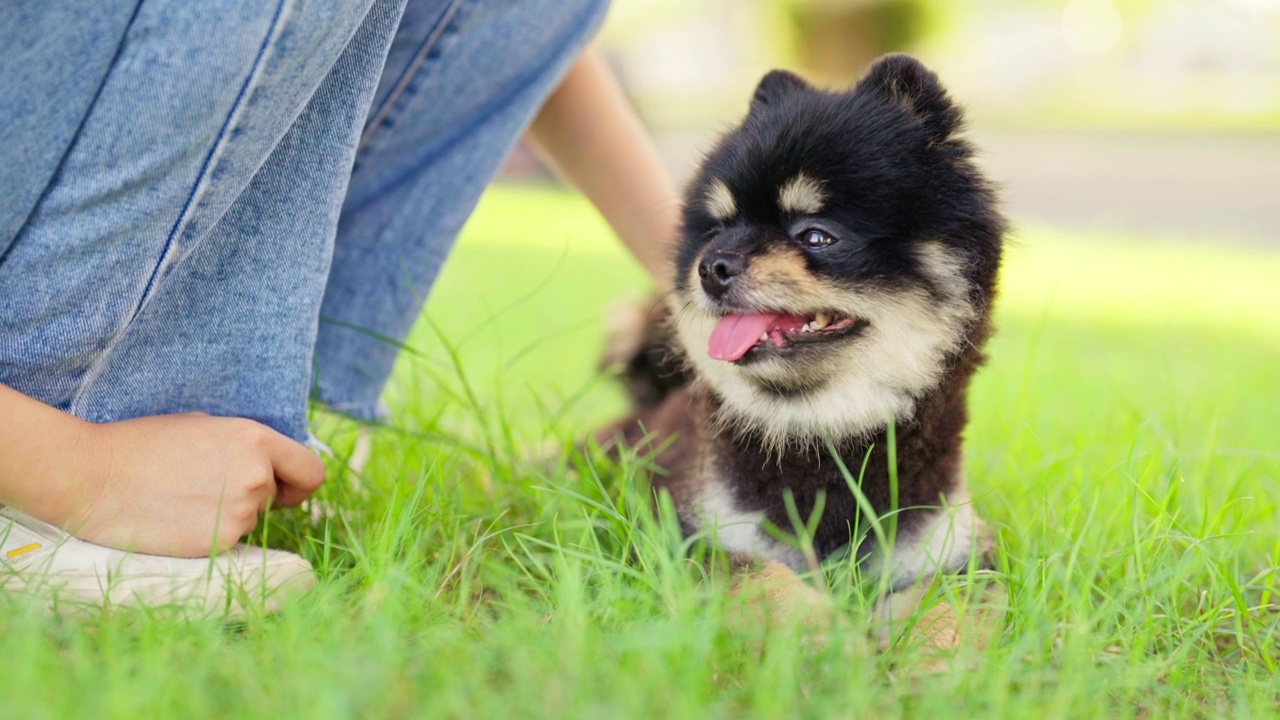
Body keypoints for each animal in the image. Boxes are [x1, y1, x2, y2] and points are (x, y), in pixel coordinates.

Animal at [601, 53, 1008, 640]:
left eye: (816, 236)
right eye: (717, 230)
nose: (711, 266)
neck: (824, 437)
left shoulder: (955, 552)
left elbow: (948, 610)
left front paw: (928, 657)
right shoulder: (688, 534)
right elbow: (761, 576)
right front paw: (825, 638)